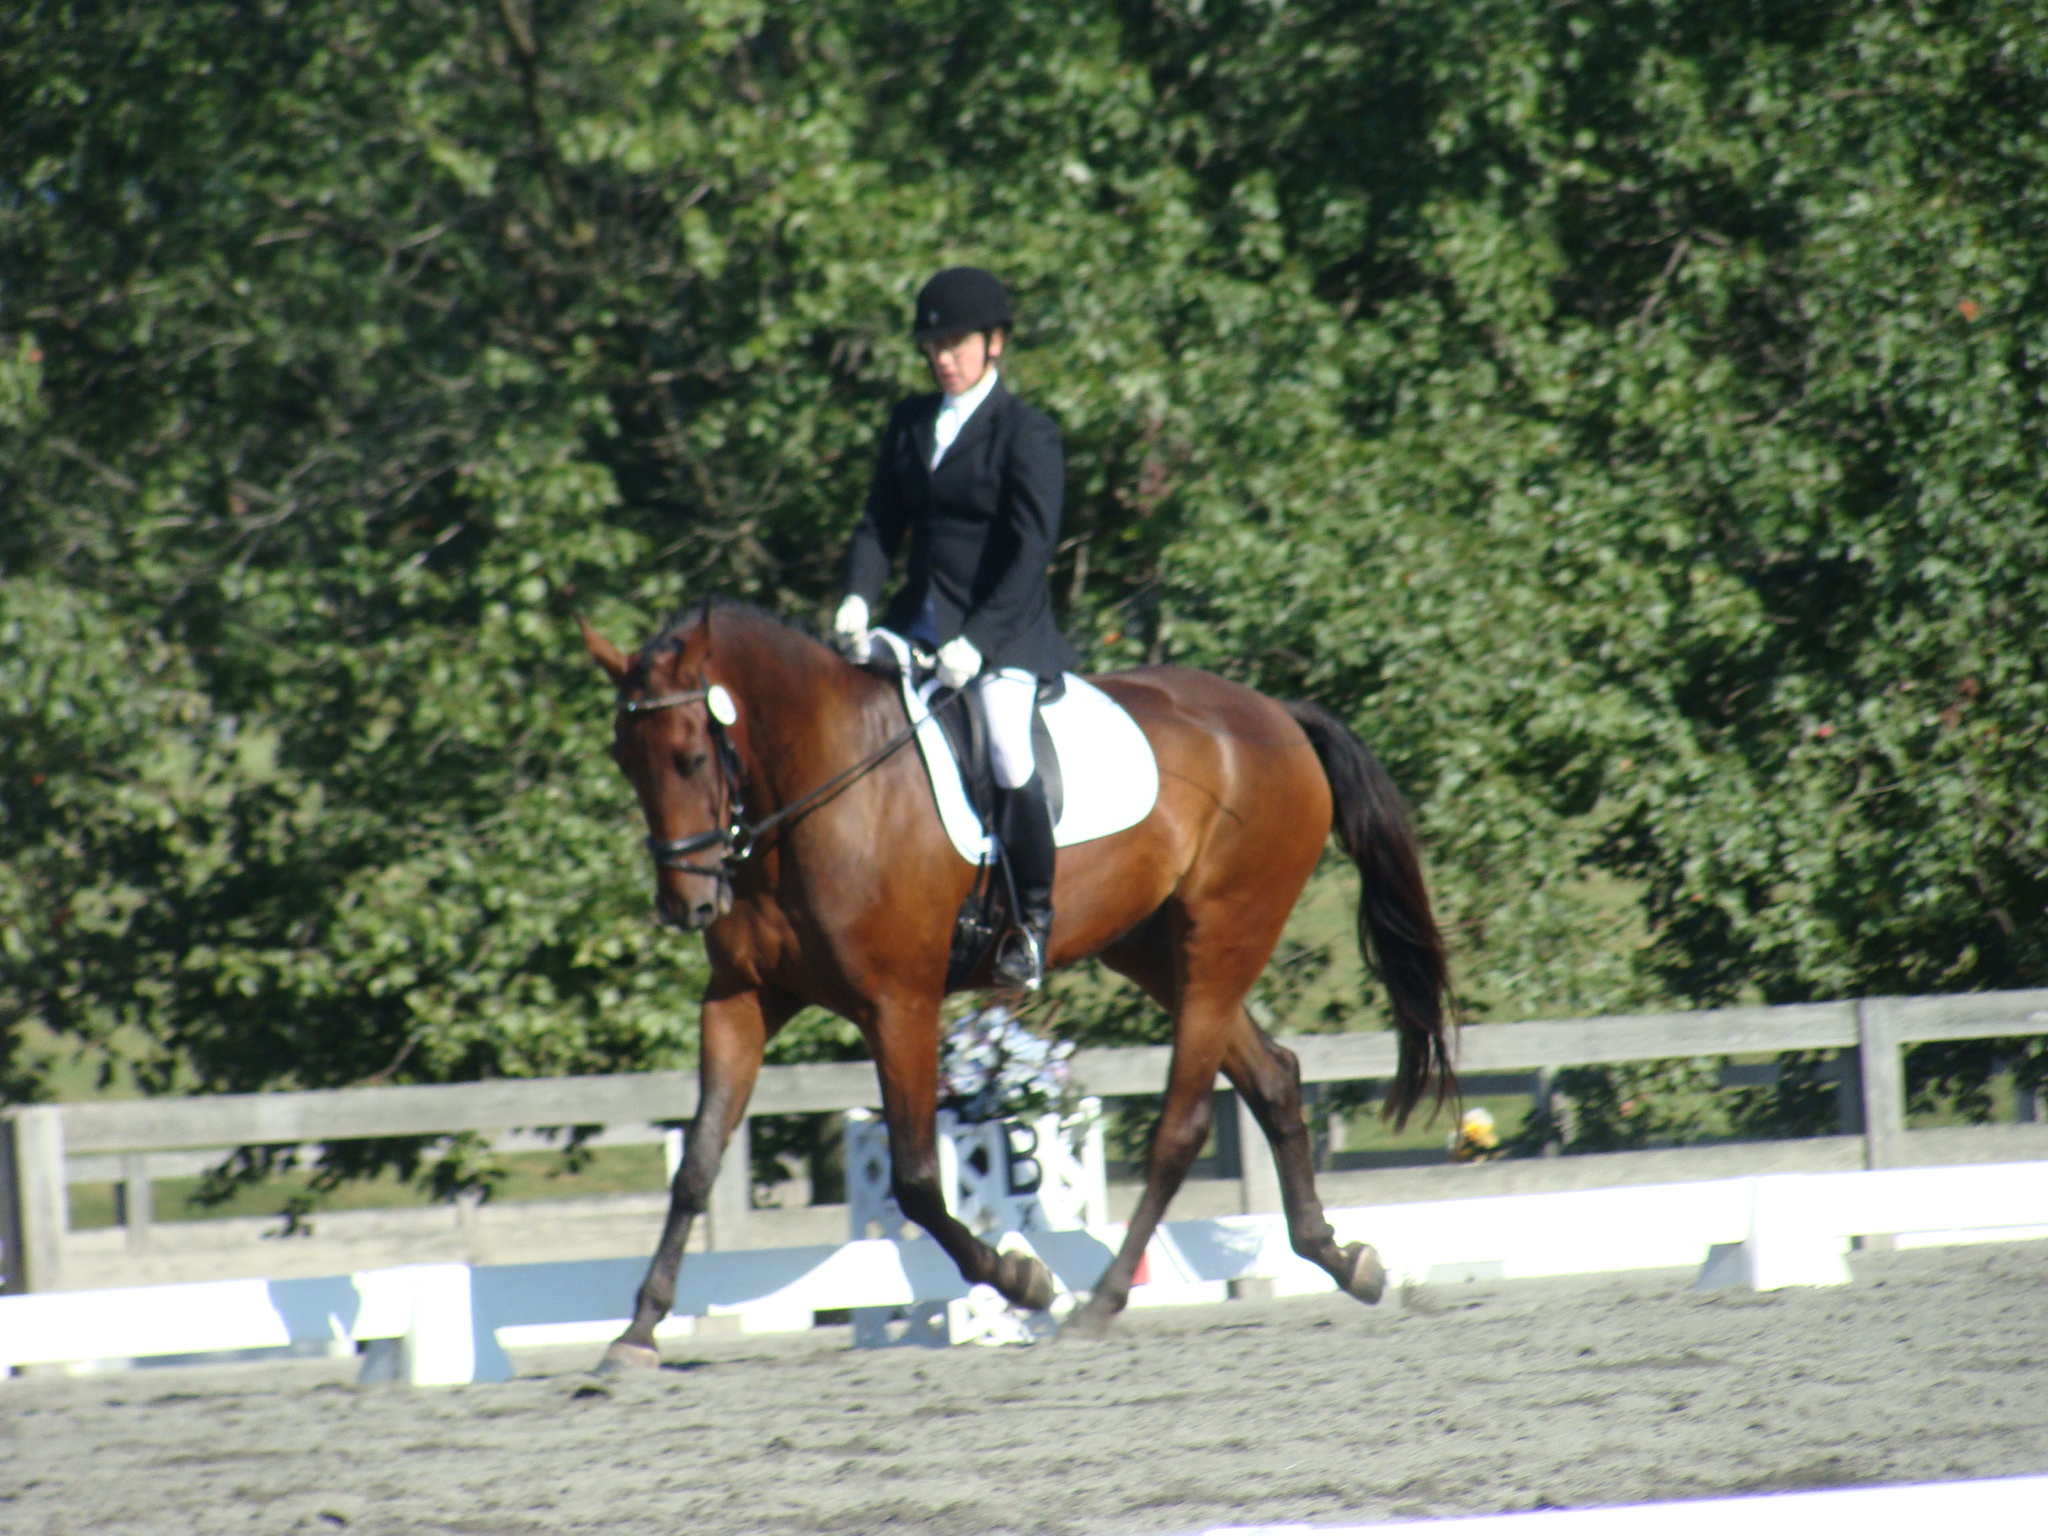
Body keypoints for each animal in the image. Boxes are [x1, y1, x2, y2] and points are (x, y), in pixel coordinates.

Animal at [579, 600, 1454, 1366]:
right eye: (624, 759)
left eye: (693, 756)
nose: (685, 904)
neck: (813, 787)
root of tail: (1277, 715)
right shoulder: (739, 1000)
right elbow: (697, 1164)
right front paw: (639, 1330)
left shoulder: (898, 1006)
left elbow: (917, 1181)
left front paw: (1021, 1280)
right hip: (1155, 951)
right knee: (1273, 1078)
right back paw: (1341, 1258)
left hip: (1223, 937)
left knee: (1183, 1126)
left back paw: (1101, 1302)